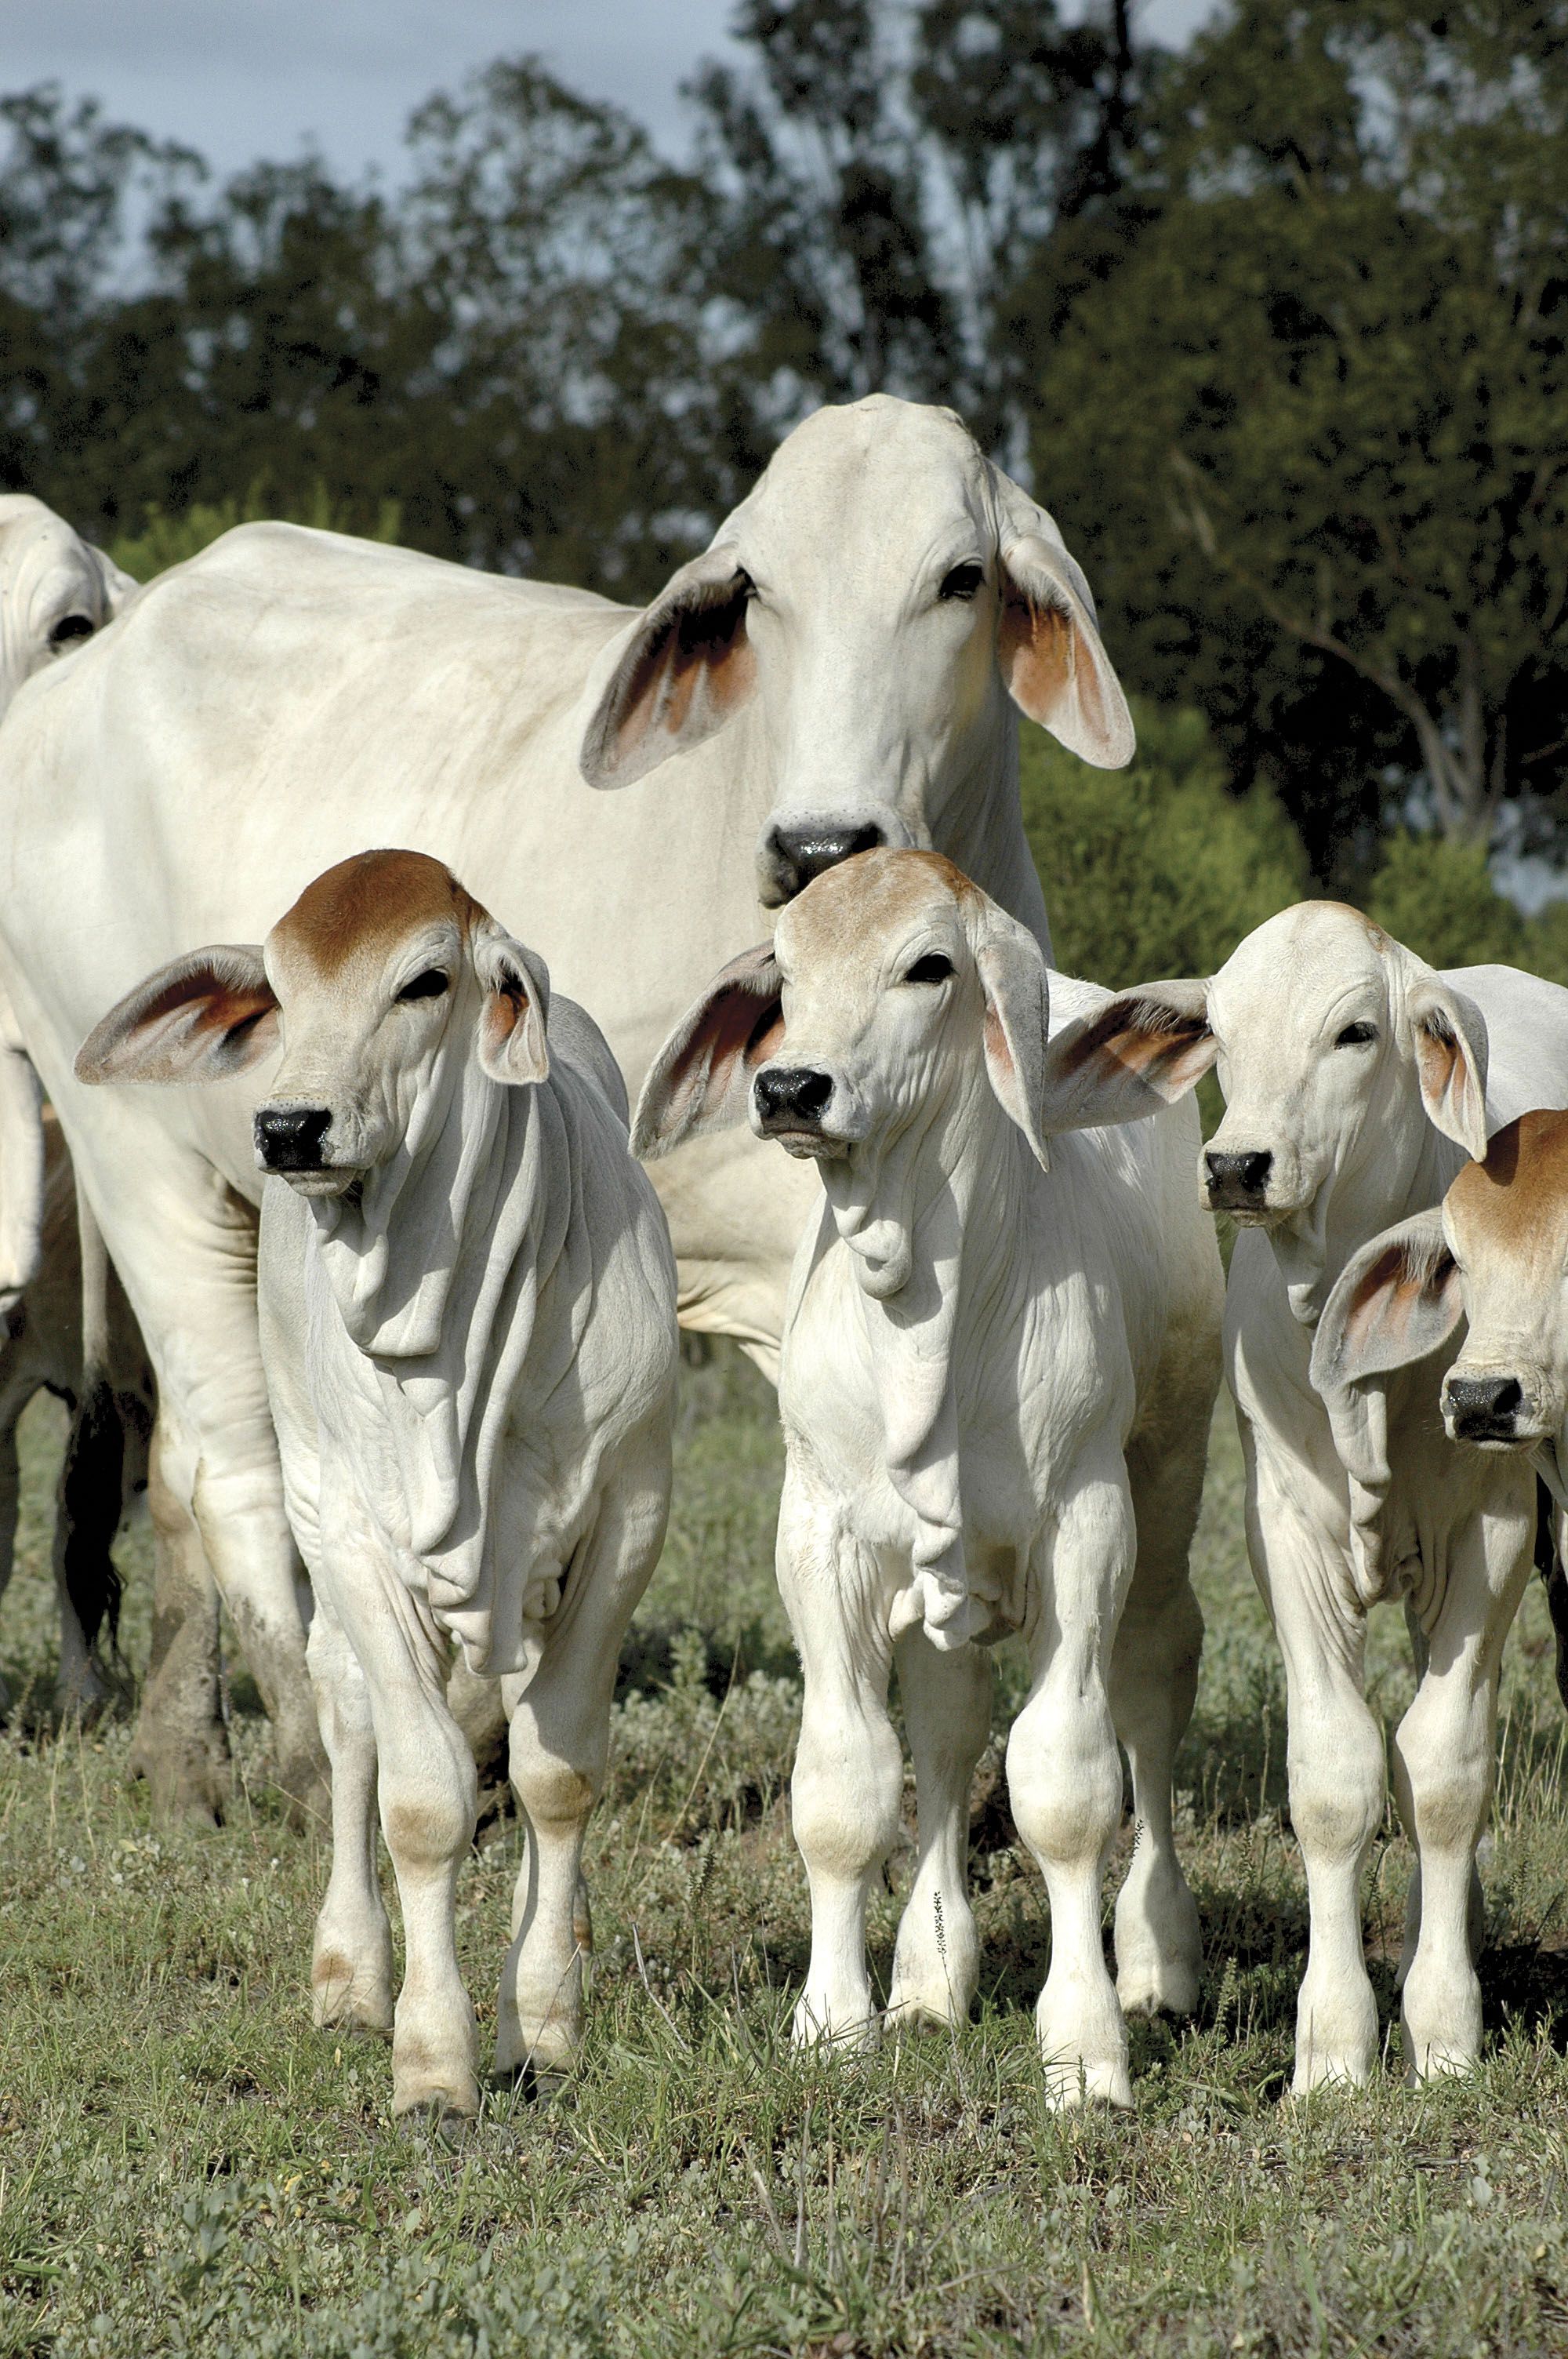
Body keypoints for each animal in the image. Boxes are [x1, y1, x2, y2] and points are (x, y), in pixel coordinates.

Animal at [0, 395, 1135, 1820]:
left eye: (960, 577)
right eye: (757, 590)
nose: (821, 845)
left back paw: (192, 1743)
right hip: (140, 1163)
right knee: (224, 1459)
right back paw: (281, 1754)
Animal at [78, 850, 678, 2124]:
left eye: (425, 981)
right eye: (278, 991)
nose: (289, 1125)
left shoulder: (629, 1517)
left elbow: (557, 1773)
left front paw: (543, 2020)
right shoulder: (347, 1532)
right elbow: (422, 1799)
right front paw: (432, 2057)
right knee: (348, 1718)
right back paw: (350, 1972)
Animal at [633, 849, 1223, 2105]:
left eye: (928, 966)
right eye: (785, 974)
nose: (790, 1087)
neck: (921, 1292)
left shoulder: (1084, 1528)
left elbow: (1066, 1787)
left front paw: (1087, 2047)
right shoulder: (817, 1535)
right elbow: (847, 1785)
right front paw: (834, 2018)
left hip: (1168, 1479)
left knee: (1150, 1699)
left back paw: (1158, 1961)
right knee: (948, 1732)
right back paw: (928, 1977)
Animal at [1070, 902, 1568, 2088]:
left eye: (1354, 1033)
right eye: (1221, 1029)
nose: (1236, 1162)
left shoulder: (1493, 1536)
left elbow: (1443, 1771)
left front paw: (1442, 2028)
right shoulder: (1286, 1535)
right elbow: (1337, 1775)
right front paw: (1335, 2047)